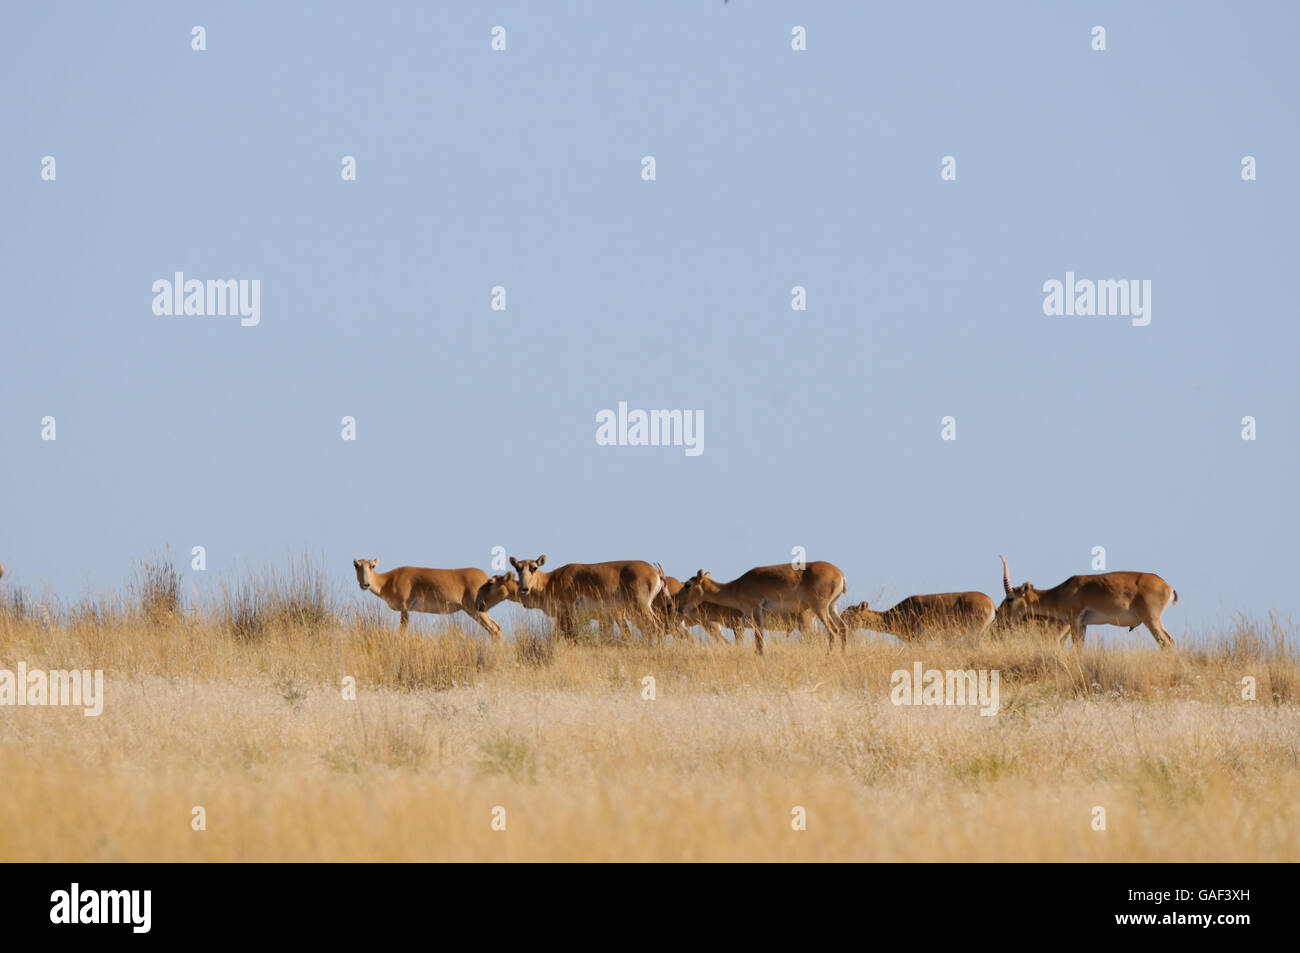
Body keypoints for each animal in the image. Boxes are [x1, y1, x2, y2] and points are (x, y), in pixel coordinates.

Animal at [353, 556, 504, 639]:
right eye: (356, 565)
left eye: (372, 566)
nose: (365, 584)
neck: (387, 580)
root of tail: (486, 578)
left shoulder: (405, 609)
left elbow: (402, 633)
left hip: (476, 610)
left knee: (495, 629)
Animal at [506, 553, 665, 642]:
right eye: (517, 568)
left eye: (534, 567)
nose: (524, 589)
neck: (550, 580)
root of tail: (655, 572)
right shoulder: (561, 616)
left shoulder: (569, 613)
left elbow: (571, 635)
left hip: (641, 608)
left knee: (656, 626)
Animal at [993, 556, 1180, 647]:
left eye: (1010, 598)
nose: (999, 617)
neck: (1060, 592)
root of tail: (1167, 586)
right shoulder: (1083, 625)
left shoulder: (1074, 621)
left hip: (1151, 620)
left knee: (1167, 642)